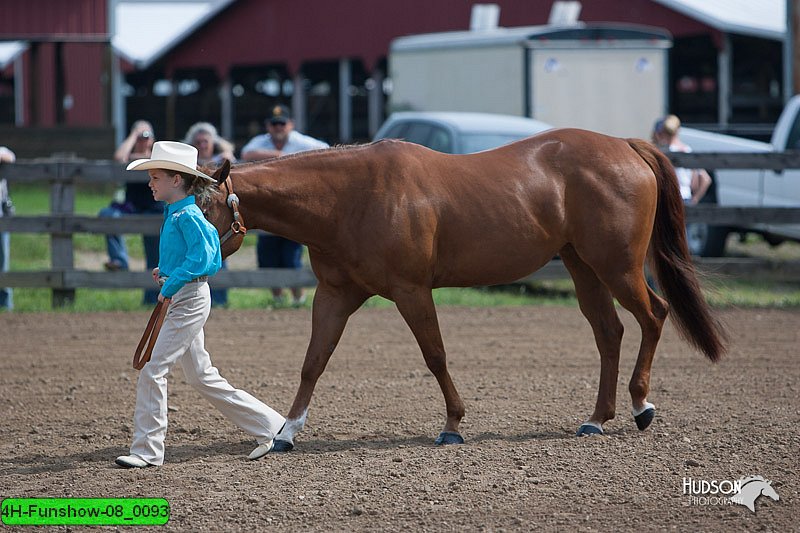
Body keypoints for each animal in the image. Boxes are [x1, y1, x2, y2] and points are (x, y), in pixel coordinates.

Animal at [198, 129, 724, 448]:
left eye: (203, 208)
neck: (351, 198)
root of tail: (625, 145)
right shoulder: (335, 296)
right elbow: (313, 361)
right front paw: (286, 433)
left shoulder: (412, 291)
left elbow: (435, 355)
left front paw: (452, 425)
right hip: (584, 267)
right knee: (609, 332)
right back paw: (597, 417)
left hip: (617, 267)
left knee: (653, 315)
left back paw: (641, 405)